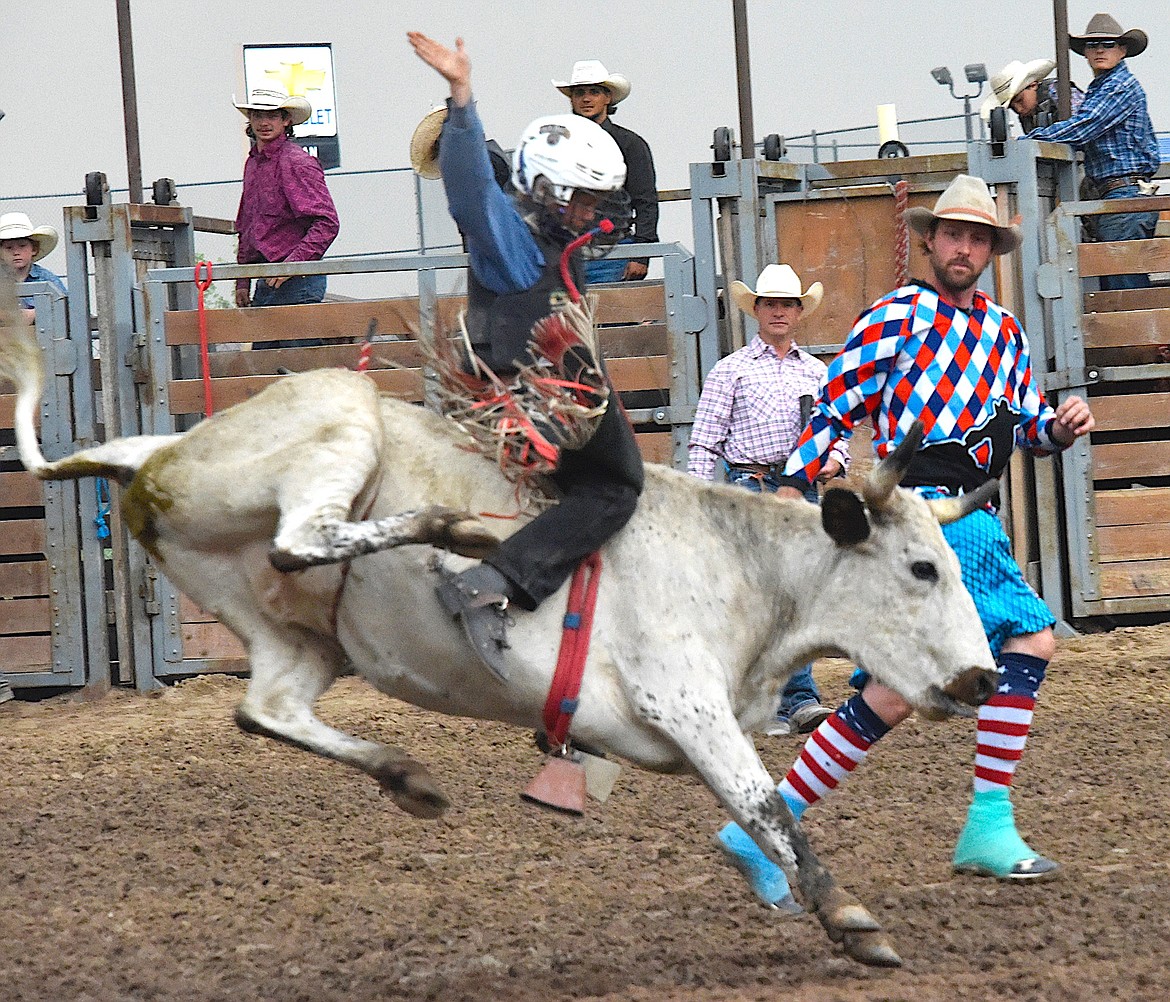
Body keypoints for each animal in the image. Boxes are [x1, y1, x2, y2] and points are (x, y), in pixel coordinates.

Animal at [0, 277, 996, 964]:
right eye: (921, 568)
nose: (983, 676)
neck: (743, 564)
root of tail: (158, 450)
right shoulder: (688, 706)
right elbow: (771, 811)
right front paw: (855, 923)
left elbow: (769, 807)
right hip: (339, 418)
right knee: (299, 540)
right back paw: (455, 531)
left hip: (303, 637)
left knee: (266, 706)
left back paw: (407, 776)